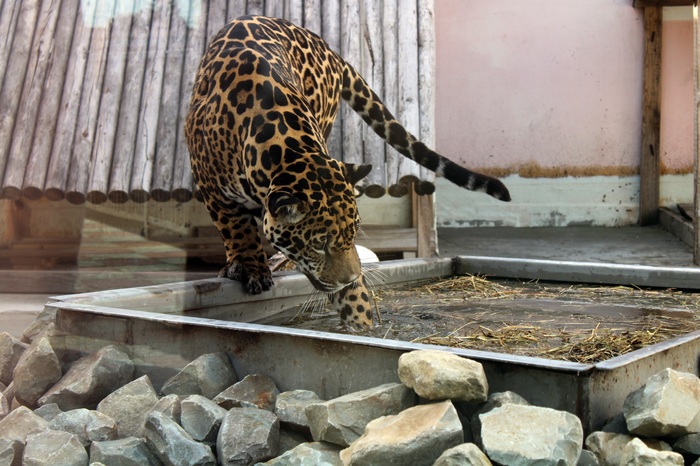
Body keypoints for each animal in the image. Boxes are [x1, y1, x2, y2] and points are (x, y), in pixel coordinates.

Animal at [185, 15, 510, 327]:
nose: (351, 278)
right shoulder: (212, 188)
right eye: (318, 245)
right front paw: (251, 267)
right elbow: (237, 230)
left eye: (353, 234)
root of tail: (330, 49)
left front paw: (360, 316)